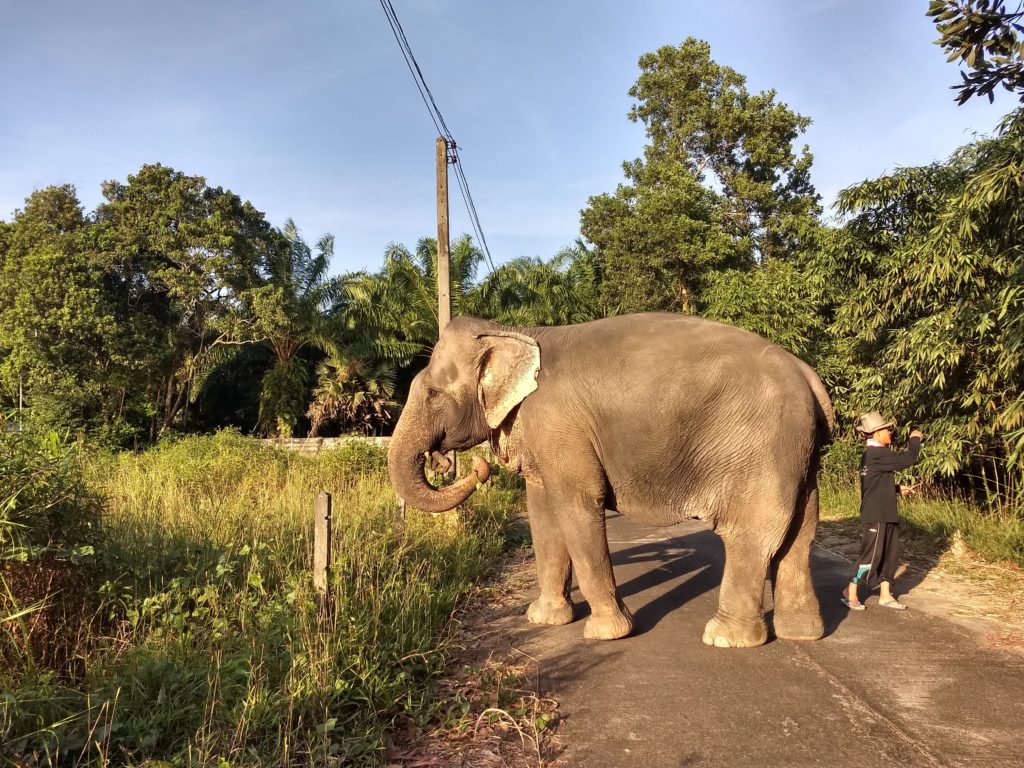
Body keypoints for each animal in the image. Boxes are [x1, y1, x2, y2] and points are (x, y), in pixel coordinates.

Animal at [387, 313, 835, 651]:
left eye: (432, 393)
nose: (470, 467)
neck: (511, 330)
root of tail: (808, 375)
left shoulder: (559, 425)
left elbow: (578, 505)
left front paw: (607, 633)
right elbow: (542, 513)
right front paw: (544, 619)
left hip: (759, 449)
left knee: (751, 534)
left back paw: (726, 639)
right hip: (801, 455)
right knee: (800, 534)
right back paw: (802, 634)